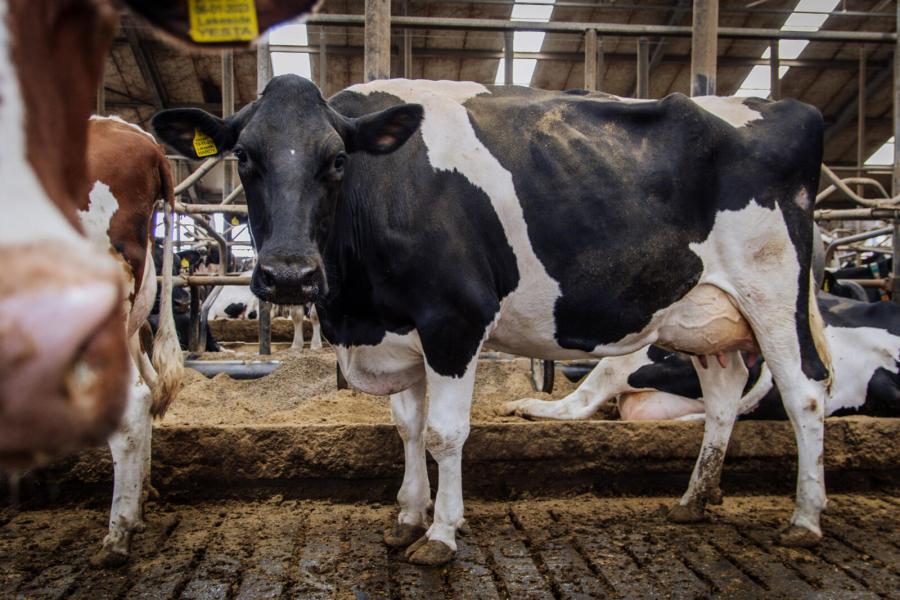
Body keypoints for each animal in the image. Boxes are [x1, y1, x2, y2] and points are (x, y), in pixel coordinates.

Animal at [153, 76, 830, 565]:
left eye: (338, 159)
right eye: (244, 156)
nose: (290, 275)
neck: (358, 313)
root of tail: (789, 107)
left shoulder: (455, 320)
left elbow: (443, 433)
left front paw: (440, 536)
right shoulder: (400, 334)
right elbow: (406, 429)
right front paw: (406, 519)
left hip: (774, 291)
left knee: (805, 393)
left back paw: (805, 519)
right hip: (706, 313)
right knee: (722, 394)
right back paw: (695, 500)